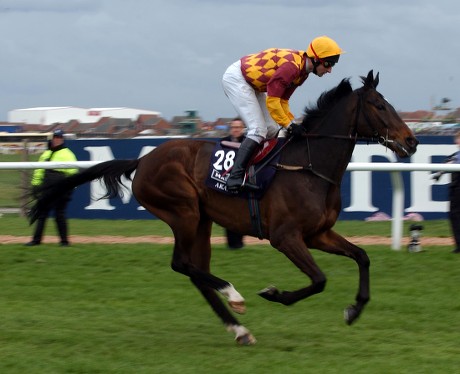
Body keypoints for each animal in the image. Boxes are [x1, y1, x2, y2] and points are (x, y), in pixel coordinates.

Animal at [28, 70, 416, 344]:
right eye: (380, 105)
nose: (411, 141)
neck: (308, 166)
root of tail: (144, 159)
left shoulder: (318, 234)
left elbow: (362, 256)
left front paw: (354, 309)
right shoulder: (285, 237)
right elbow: (319, 280)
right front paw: (274, 293)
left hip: (201, 221)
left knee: (194, 271)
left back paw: (238, 328)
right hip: (183, 212)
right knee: (182, 264)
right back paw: (234, 295)